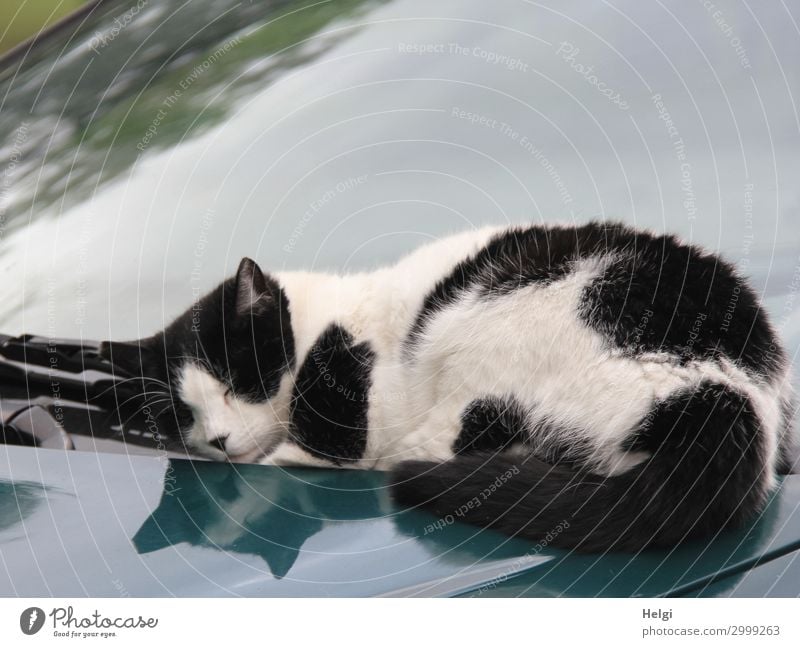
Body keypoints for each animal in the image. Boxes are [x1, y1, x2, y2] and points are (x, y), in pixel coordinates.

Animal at [103, 221, 796, 552]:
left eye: (234, 384)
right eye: (187, 412)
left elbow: (315, 451)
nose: (217, 440)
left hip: (488, 319)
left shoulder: (347, 421)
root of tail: (728, 391)